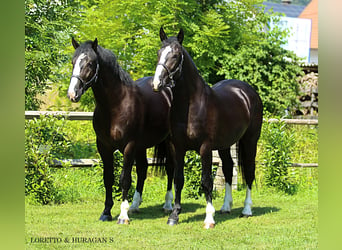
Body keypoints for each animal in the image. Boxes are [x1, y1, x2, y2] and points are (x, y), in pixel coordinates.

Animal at [67, 38, 175, 224]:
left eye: (90, 63)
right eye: (73, 62)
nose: (72, 94)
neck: (116, 104)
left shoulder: (129, 146)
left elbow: (124, 179)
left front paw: (123, 216)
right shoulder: (104, 147)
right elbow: (108, 178)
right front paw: (106, 212)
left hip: (166, 142)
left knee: (169, 168)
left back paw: (167, 205)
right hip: (141, 146)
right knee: (142, 170)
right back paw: (135, 206)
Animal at [151, 27, 264, 229]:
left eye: (176, 55)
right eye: (159, 52)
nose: (157, 83)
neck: (191, 105)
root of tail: (247, 91)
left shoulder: (205, 148)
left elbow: (206, 181)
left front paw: (209, 218)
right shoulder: (178, 147)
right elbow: (178, 180)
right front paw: (174, 215)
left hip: (250, 140)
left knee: (249, 171)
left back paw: (246, 210)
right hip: (226, 144)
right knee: (228, 168)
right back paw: (226, 207)